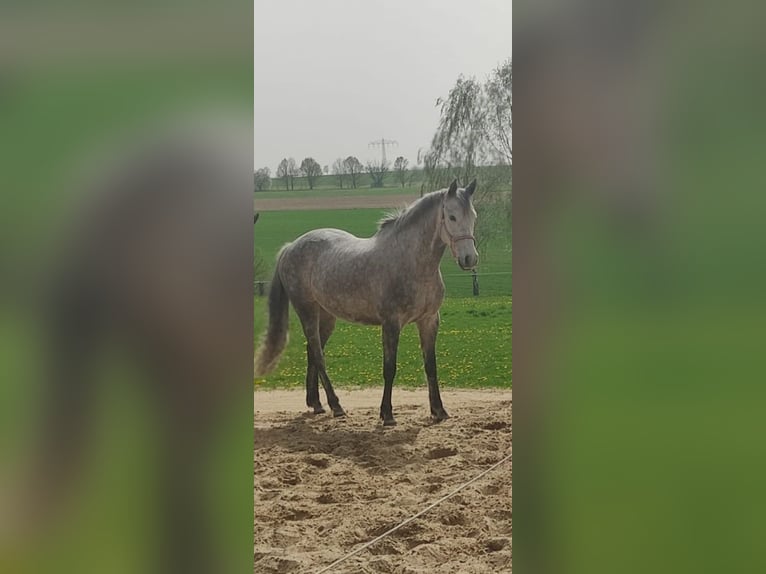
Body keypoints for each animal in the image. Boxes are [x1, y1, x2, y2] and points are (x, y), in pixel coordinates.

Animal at [254, 178, 478, 426]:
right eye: (452, 217)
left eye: (473, 216)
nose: (469, 259)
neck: (411, 261)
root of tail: (290, 247)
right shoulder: (391, 324)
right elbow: (389, 368)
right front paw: (387, 414)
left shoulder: (429, 321)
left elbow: (431, 366)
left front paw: (439, 411)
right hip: (307, 310)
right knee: (318, 355)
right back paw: (336, 405)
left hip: (327, 316)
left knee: (312, 351)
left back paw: (316, 404)